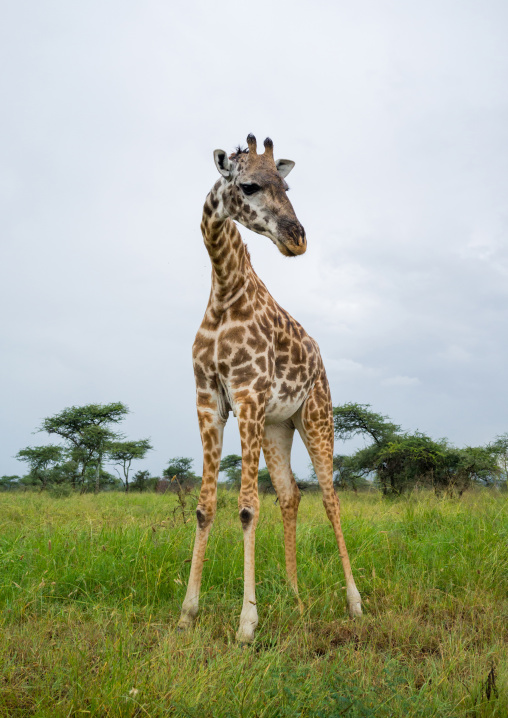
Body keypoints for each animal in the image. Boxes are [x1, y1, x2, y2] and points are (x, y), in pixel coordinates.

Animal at [178, 134, 362, 643]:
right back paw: (296, 599)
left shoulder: (248, 396)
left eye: (287, 185)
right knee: (291, 494)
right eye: (250, 185)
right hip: (280, 426)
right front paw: (187, 614)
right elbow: (205, 507)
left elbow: (245, 509)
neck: (224, 291)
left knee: (332, 500)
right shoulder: (209, 400)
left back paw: (355, 604)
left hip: (316, 415)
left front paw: (246, 625)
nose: (297, 238)